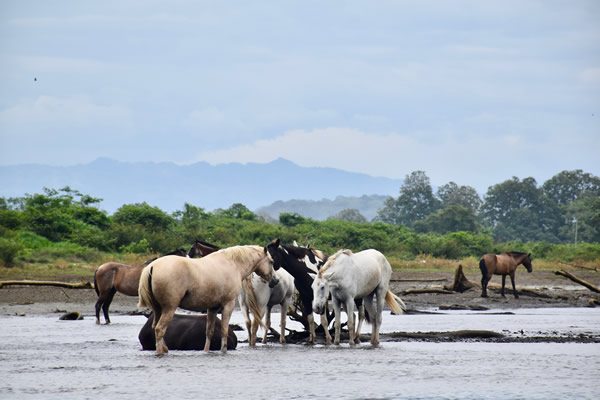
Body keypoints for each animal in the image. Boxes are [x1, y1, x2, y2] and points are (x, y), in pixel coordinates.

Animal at [137, 244, 278, 354]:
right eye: (271, 261)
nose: (275, 281)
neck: (232, 264)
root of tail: (152, 266)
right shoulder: (228, 305)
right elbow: (224, 330)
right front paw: (223, 351)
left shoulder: (212, 308)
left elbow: (209, 332)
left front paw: (206, 351)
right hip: (169, 308)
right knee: (160, 329)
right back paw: (161, 352)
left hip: (158, 309)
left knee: (155, 327)